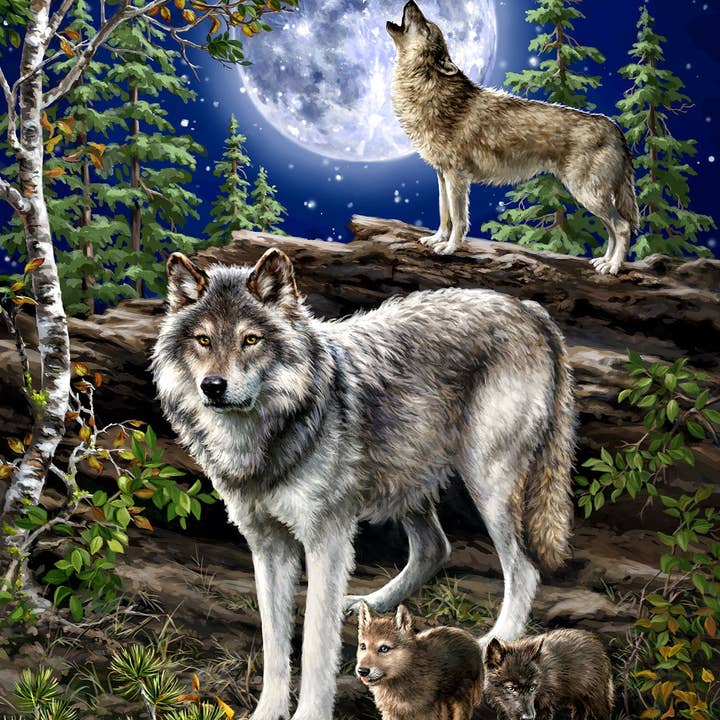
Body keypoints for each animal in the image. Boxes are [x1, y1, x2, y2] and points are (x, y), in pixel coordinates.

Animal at [152, 247, 575, 720]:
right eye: (203, 340)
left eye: (251, 340)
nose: (213, 386)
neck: (266, 436)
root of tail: (529, 308)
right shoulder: (266, 545)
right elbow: (275, 644)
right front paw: (268, 711)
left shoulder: (327, 541)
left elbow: (315, 645)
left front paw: (310, 714)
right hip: (407, 479)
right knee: (435, 548)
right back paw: (369, 605)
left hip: (488, 484)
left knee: (523, 569)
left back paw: (492, 642)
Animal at [387, 0, 640, 276]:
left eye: (425, 26)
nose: (411, 2)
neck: (428, 89)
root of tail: (614, 127)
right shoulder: (442, 175)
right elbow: (445, 215)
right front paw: (437, 239)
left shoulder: (457, 177)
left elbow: (459, 219)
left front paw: (450, 248)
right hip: (592, 197)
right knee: (612, 229)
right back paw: (604, 261)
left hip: (587, 194)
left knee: (622, 227)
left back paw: (613, 266)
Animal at [483, 630, 614, 720]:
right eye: (510, 688)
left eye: (532, 688)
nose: (528, 718)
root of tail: (596, 642)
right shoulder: (504, 711)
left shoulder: (543, 708)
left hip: (596, 701)